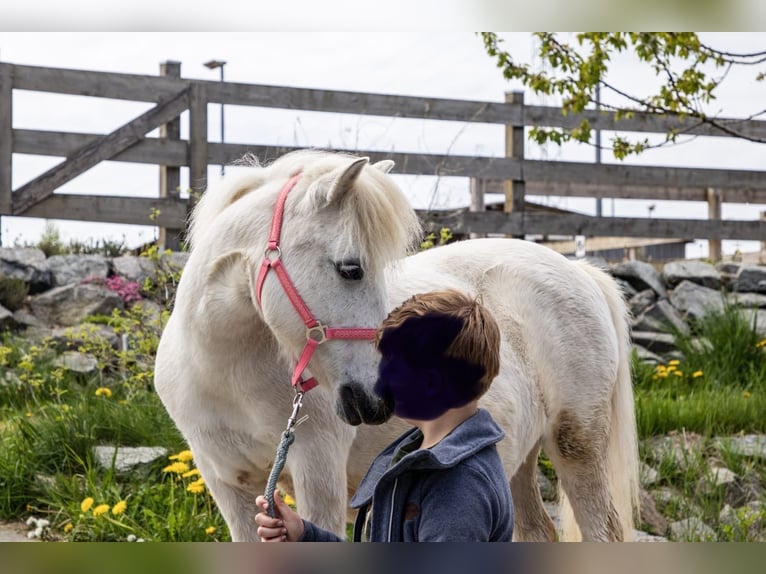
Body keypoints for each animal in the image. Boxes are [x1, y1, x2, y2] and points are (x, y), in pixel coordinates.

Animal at [154, 150, 640, 544]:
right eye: (351, 269)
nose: (377, 399)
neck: (223, 375)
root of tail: (581, 271)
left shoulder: (318, 474)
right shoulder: (229, 486)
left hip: (577, 445)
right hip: (516, 458)